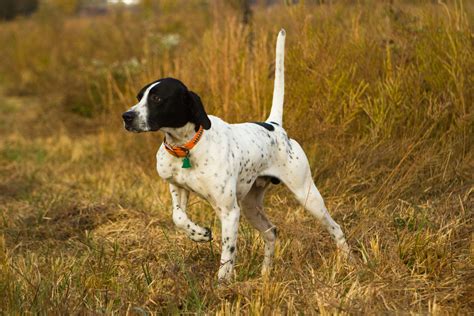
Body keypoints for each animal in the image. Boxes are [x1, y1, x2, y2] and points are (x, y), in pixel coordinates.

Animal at [124, 29, 350, 282]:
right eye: (139, 96)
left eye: (157, 99)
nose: (127, 116)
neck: (187, 147)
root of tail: (275, 126)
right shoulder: (178, 188)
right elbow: (178, 217)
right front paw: (199, 234)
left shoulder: (230, 212)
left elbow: (228, 251)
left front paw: (223, 282)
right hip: (251, 205)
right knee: (271, 232)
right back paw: (265, 273)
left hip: (307, 195)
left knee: (335, 228)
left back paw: (347, 261)